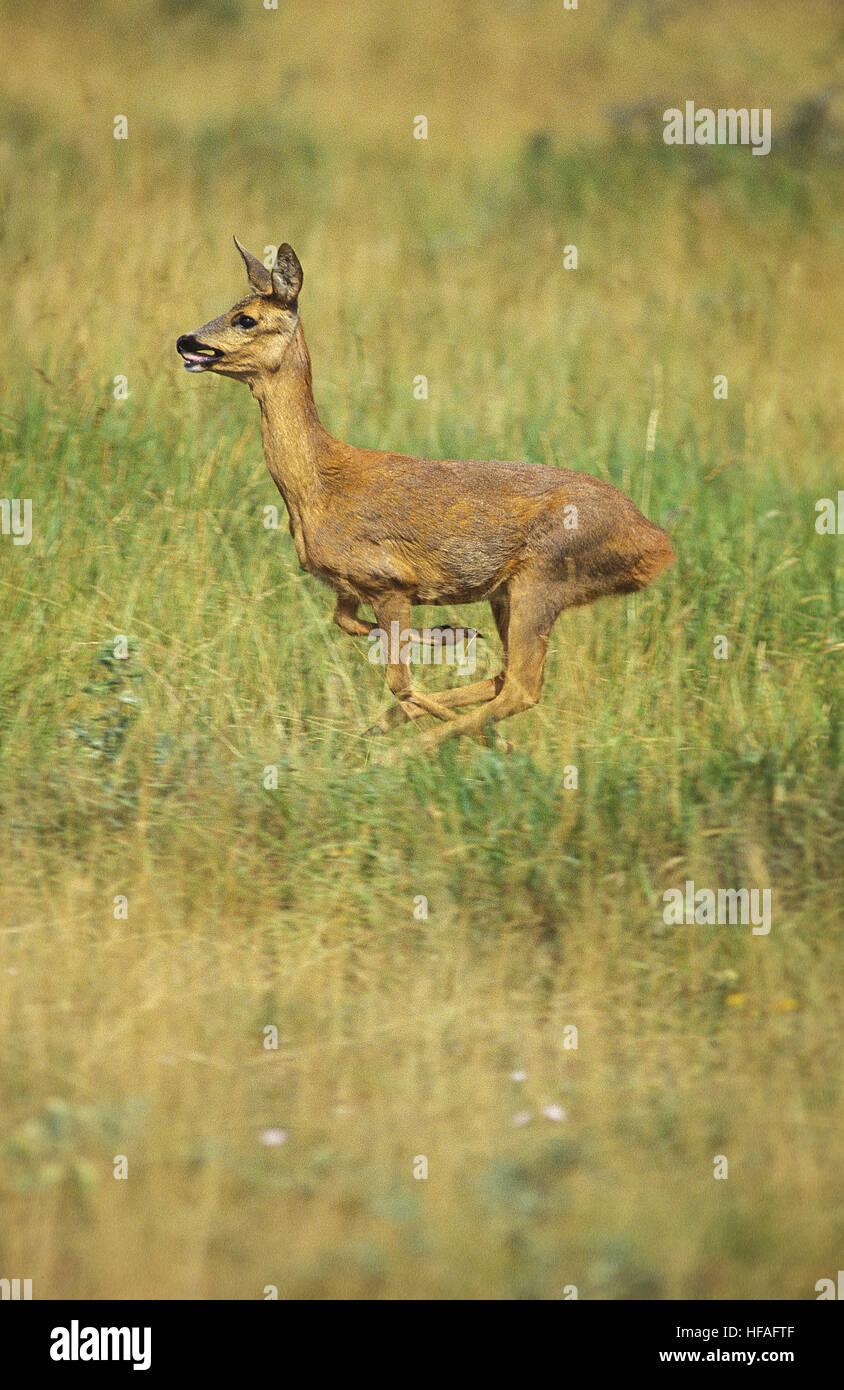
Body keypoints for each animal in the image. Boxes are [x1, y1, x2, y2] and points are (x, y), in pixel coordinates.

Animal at [176, 239, 672, 750]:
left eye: (246, 318)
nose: (186, 342)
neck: (318, 487)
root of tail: (655, 542)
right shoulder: (349, 588)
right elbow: (346, 624)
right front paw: (448, 635)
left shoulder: (389, 580)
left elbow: (400, 682)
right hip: (508, 592)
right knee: (505, 676)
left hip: (545, 577)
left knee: (521, 686)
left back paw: (434, 746)